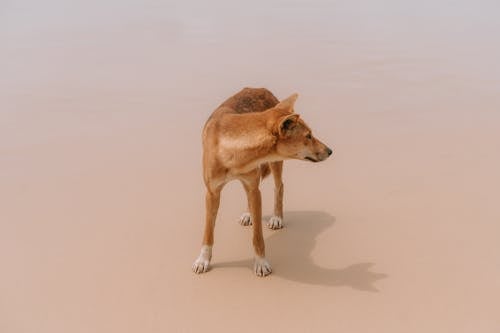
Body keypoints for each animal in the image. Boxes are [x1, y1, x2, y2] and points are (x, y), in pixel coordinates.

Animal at [193, 87, 334, 274]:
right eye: (308, 136)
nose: (330, 151)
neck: (233, 151)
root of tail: (260, 88)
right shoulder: (212, 193)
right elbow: (208, 232)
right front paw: (203, 260)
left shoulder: (254, 188)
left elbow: (257, 236)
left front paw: (260, 262)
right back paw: (248, 214)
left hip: (274, 164)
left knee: (279, 187)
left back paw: (277, 217)